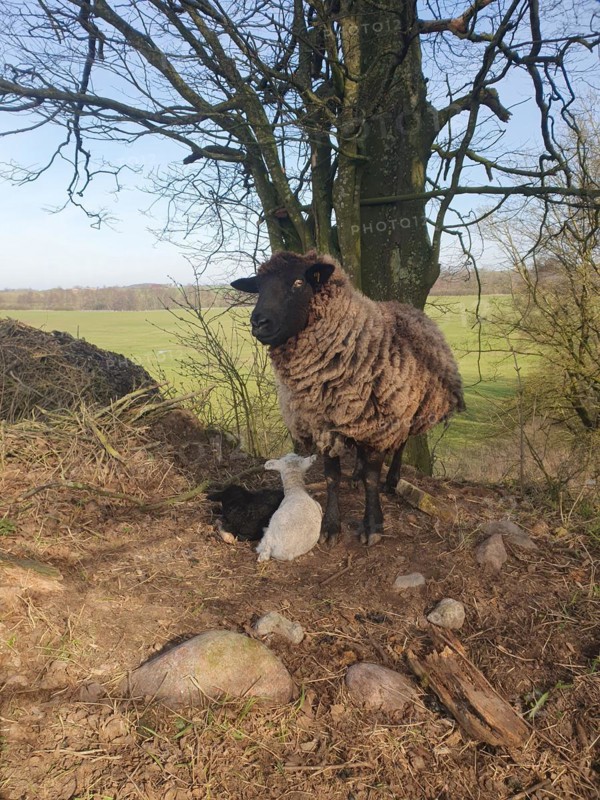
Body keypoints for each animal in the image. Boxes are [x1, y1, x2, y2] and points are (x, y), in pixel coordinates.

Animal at [231, 250, 465, 547]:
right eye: (258, 287)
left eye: (298, 282)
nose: (259, 323)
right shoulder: (322, 424)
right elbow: (332, 477)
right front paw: (331, 526)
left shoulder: (380, 424)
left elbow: (372, 480)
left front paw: (372, 525)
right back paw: (356, 474)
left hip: (409, 409)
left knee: (401, 445)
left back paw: (392, 480)